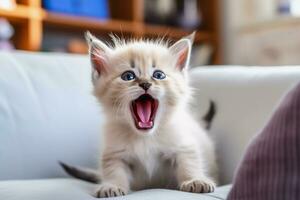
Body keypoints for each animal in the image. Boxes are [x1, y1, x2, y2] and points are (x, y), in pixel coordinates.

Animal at [61, 32, 217, 198]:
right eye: (128, 76)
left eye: (159, 75)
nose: (145, 84)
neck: (145, 137)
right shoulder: (114, 153)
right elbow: (113, 171)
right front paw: (111, 186)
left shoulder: (183, 146)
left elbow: (190, 163)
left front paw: (195, 180)